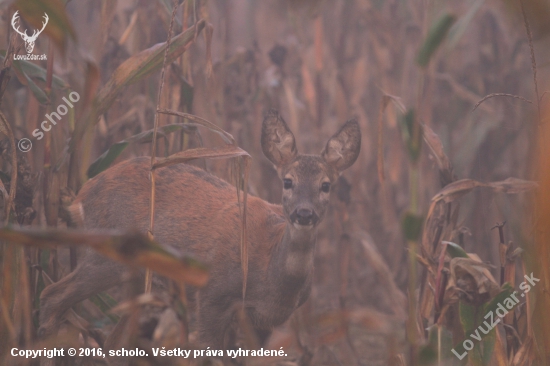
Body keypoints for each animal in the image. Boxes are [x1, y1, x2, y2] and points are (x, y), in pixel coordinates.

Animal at [41, 109, 364, 352]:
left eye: (326, 185)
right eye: (288, 181)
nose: (304, 213)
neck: (271, 279)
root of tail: (82, 194)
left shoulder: (264, 321)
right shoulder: (212, 294)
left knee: (111, 339)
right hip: (106, 252)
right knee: (52, 295)